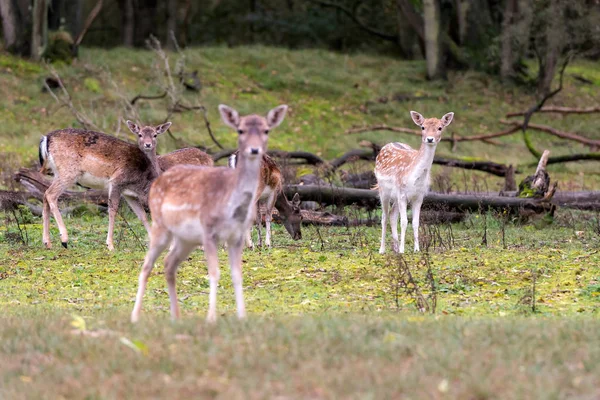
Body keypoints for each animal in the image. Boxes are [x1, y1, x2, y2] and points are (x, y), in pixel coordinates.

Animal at [39, 125, 171, 250]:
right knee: (51, 194)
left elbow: (142, 215)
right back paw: (64, 239)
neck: (141, 183)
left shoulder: (129, 193)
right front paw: (110, 245)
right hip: (68, 172)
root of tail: (47, 138)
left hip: (57, 173)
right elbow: (112, 210)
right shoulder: (116, 182)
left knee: (45, 195)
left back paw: (47, 242)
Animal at [376, 110, 454, 253]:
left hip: (396, 196)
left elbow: (415, 222)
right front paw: (403, 250)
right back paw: (382, 249)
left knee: (392, 215)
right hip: (383, 190)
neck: (414, 179)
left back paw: (395, 248)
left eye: (440, 128)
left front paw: (417, 249)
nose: (430, 139)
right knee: (384, 217)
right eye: (422, 127)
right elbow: (404, 222)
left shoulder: (419, 196)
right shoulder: (402, 193)